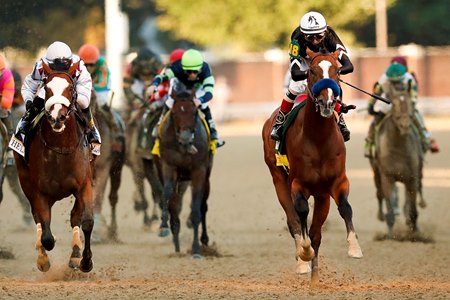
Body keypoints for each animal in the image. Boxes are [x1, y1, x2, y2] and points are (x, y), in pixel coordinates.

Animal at [13, 62, 94, 274]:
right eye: (47, 88)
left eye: (71, 88)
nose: (58, 117)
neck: (60, 148)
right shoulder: (39, 191)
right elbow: (47, 235)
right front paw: (44, 256)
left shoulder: (84, 185)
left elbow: (86, 222)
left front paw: (85, 262)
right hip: (25, 181)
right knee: (39, 220)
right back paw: (42, 257)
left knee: (74, 217)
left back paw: (75, 255)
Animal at [156, 82, 213, 258]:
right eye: (174, 112)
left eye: (194, 111)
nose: (186, 138)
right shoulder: (169, 166)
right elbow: (167, 195)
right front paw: (163, 227)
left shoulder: (199, 171)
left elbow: (196, 210)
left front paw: (196, 250)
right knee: (175, 206)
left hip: (206, 178)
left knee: (203, 206)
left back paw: (204, 241)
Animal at [262, 49, 364, 286]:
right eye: (313, 71)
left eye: (338, 71)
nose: (327, 103)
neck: (318, 139)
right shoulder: (298, 184)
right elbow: (301, 213)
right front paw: (304, 253)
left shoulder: (335, 183)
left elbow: (345, 207)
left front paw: (354, 248)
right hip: (278, 178)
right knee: (293, 222)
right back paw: (302, 263)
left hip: (321, 194)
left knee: (316, 232)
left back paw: (315, 278)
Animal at [368, 81, 424, 239]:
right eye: (393, 104)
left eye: (411, 102)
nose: (405, 125)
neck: (399, 148)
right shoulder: (387, 176)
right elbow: (390, 209)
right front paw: (390, 235)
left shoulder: (412, 177)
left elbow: (413, 210)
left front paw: (414, 234)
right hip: (376, 173)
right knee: (379, 194)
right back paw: (381, 215)